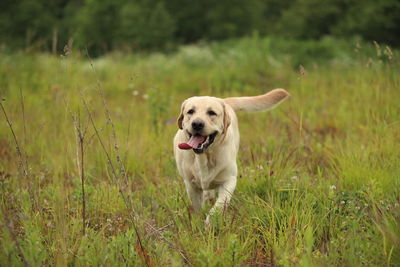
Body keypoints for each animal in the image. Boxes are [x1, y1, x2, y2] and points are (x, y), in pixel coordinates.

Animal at [173, 88, 290, 224]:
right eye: (190, 111)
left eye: (212, 113)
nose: (197, 123)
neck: (205, 156)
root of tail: (224, 100)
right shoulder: (190, 185)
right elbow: (197, 208)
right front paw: (198, 222)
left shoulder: (229, 181)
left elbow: (219, 206)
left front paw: (210, 222)